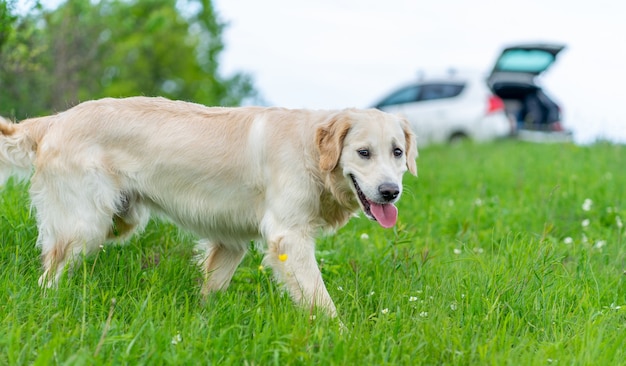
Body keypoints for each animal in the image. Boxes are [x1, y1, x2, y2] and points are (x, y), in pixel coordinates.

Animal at [2, 96, 416, 316]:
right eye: (363, 153)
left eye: (397, 152)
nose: (390, 192)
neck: (311, 154)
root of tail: (56, 120)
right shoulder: (288, 239)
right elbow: (321, 302)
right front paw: (339, 336)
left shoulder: (231, 241)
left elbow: (212, 287)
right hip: (85, 225)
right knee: (49, 275)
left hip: (119, 221)